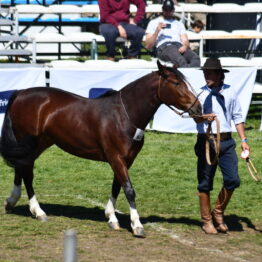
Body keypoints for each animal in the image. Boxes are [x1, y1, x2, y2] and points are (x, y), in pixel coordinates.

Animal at [0, 61, 202, 237]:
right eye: (176, 83)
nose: (198, 108)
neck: (124, 115)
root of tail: (20, 93)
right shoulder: (116, 158)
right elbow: (129, 189)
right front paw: (136, 225)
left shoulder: (125, 160)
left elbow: (117, 186)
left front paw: (111, 217)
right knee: (27, 173)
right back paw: (38, 211)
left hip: (37, 144)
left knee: (21, 167)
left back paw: (12, 201)